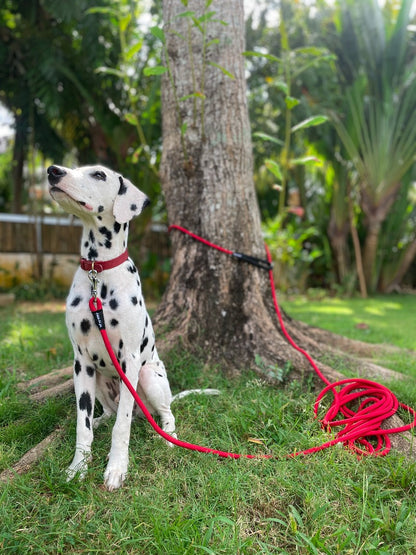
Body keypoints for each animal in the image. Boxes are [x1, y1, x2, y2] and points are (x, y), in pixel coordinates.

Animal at [46, 164, 176, 490]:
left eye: (98, 175)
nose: (53, 171)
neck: (98, 272)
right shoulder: (80, 363)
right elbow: (82, 424)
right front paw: (78, 466)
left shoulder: (130, 361)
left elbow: (123, 425)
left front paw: (117, 467)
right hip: (99, 382)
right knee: (106, 412)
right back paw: (101, 419)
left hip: (149, 375)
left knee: (164, 412)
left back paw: (169, 437)